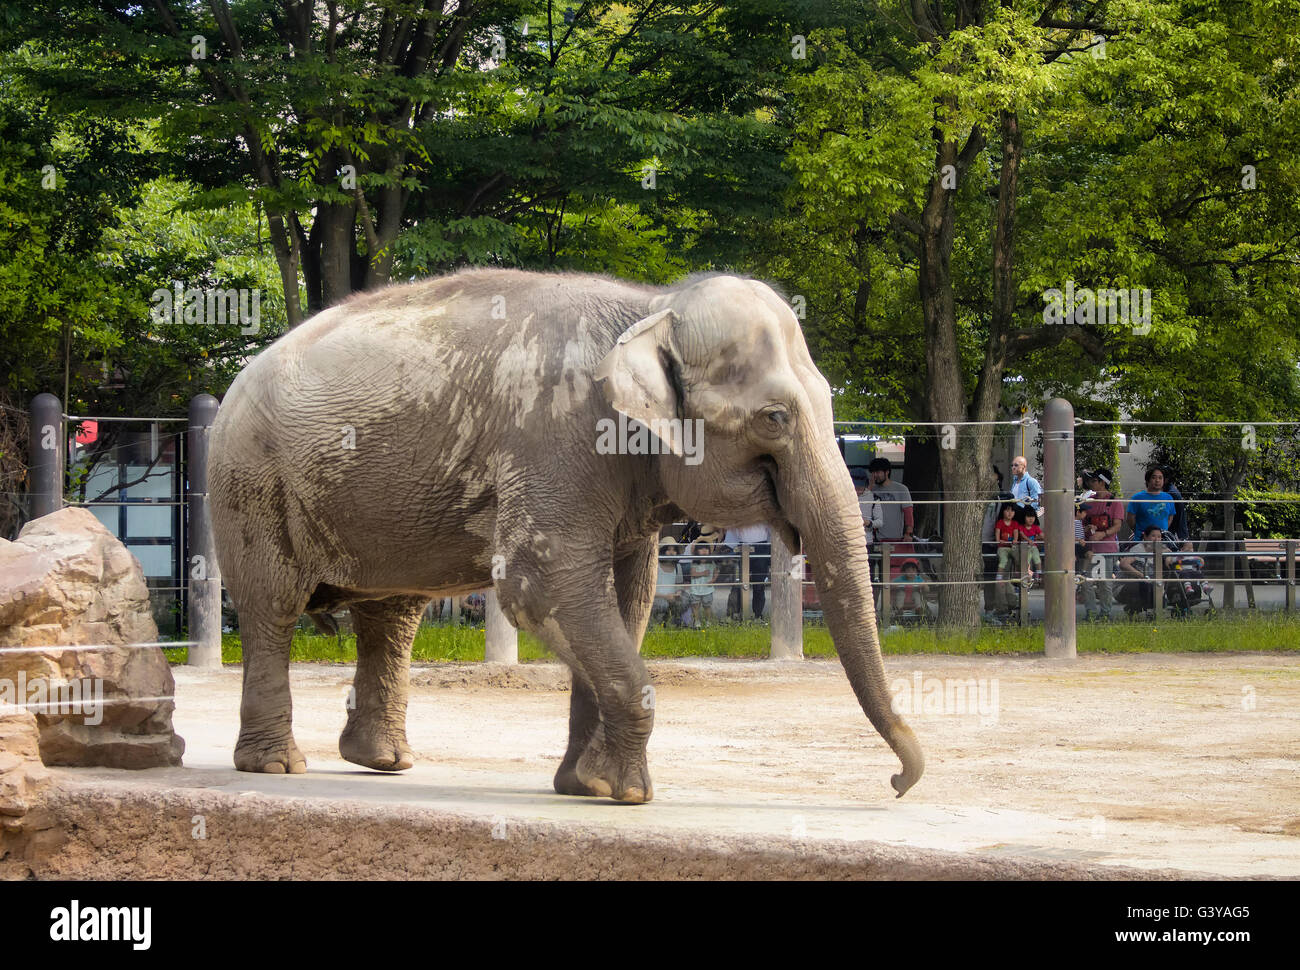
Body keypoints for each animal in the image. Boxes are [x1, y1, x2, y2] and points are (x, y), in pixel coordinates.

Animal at [208, 266, 925, 800]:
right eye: (774, 418)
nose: (898, 782)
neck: (650, 307)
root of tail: (235, 383)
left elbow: (628, 595)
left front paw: (586, 785)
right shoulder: (557, 438)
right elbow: (541, 585)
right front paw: (628, 794)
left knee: (393, 615)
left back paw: (383, 760)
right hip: (251, 485)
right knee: (272, 609)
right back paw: (276, 767)